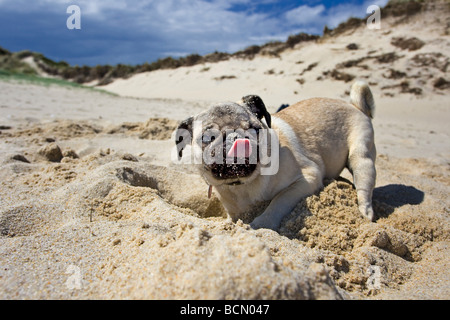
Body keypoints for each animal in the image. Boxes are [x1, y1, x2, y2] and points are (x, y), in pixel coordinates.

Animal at [176, 80, 376, 230]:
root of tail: (355, 106)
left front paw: (262, 223)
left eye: (256, 130)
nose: (235, 137)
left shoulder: (307, 177)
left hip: (361, 156)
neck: (241, 186)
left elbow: (279, 201)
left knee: (363, 184)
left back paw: (365, 212)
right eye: (207, 137)